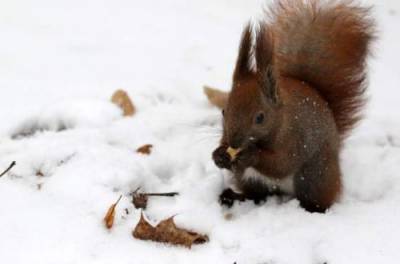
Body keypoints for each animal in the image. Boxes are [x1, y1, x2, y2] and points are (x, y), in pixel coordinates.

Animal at [212, 0, 376, 212]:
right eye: (224, 111)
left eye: (260, 117)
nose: (233, 143)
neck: (280, 121)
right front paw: (218, 155)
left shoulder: (294, 139)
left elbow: (281, 163)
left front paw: (251, 155)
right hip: (249, 179)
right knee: (256, 194)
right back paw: (233, 196)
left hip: (314, 176)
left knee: (316, 198)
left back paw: (312, 209)